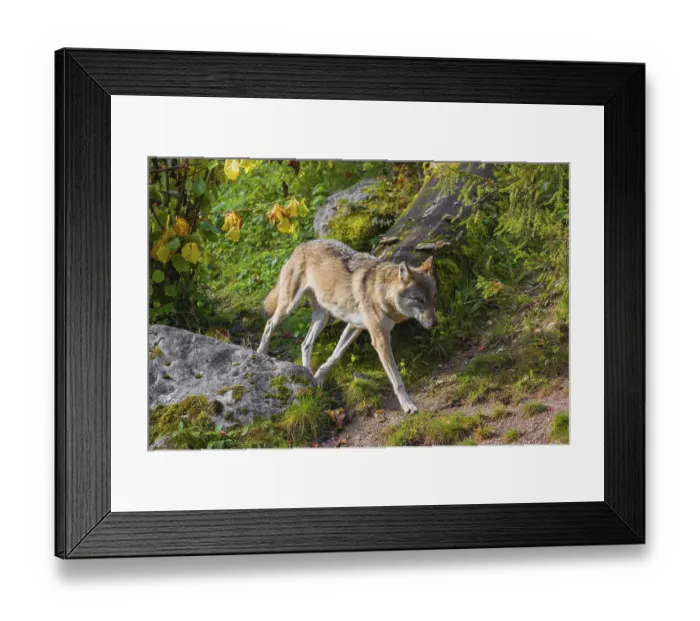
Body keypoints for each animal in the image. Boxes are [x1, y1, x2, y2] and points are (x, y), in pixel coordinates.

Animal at [257, 239, 438, 413]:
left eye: (432, 298)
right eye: (420, 300)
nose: (435, 323)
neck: (381, 294)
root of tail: (301, 245)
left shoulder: (354, 326)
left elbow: (335, 356)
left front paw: (317, 378)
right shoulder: (380, 339)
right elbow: (397, 379)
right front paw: (408, 405)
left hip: (322, 317)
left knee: (305, 344)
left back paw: (306, 374)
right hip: (288, 308)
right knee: (268, 324)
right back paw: (260, 354)